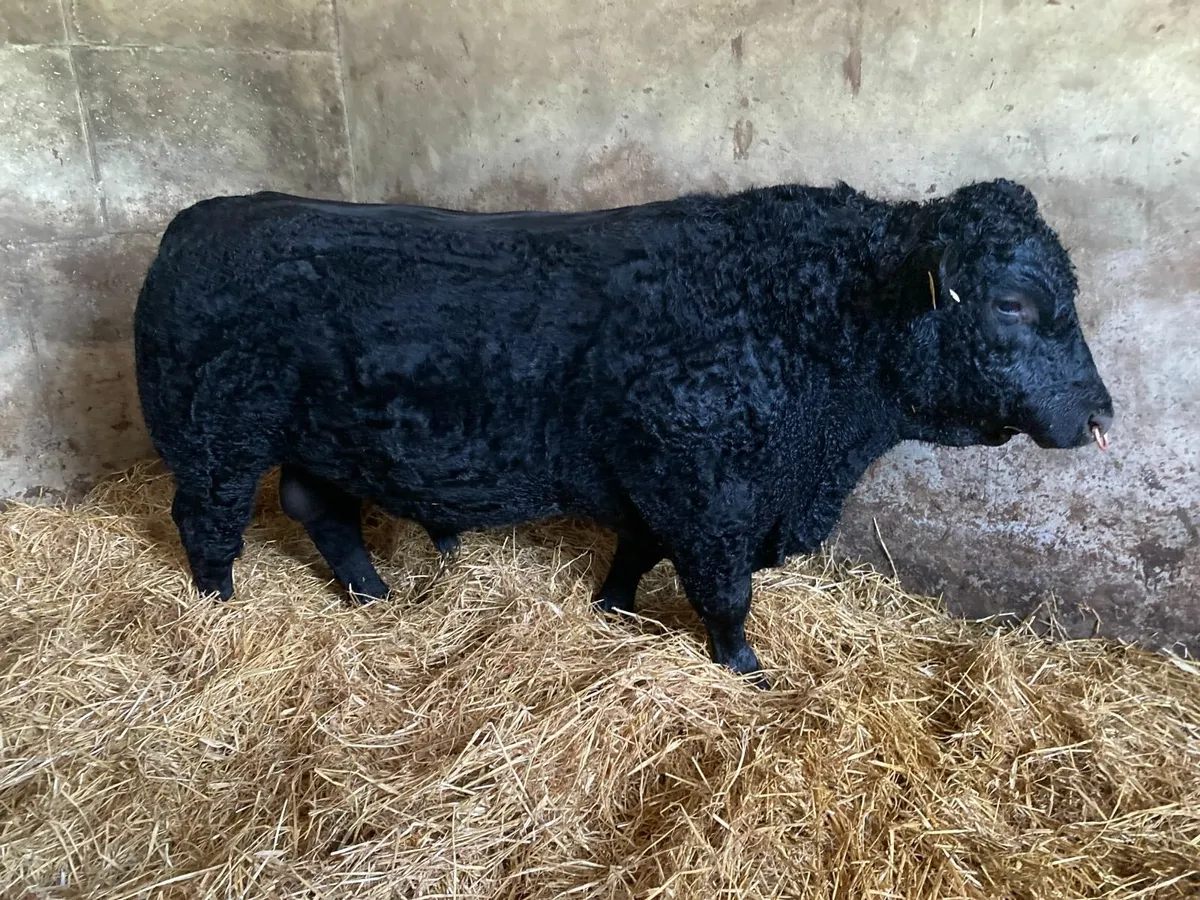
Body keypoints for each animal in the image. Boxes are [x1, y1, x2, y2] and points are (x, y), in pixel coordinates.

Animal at [132, 178, 1113, 687]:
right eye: (1014, 303)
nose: (1102, 413)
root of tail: (201, 216)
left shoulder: (663, 486)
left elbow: (635, 555)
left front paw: (612, 610)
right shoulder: (708, 494)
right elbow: (724, 595)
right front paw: (745, 671)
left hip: (319, 442)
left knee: (322, 512)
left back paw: (373, 597)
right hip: (216, 440)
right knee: (207, 523)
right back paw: (217, 607)